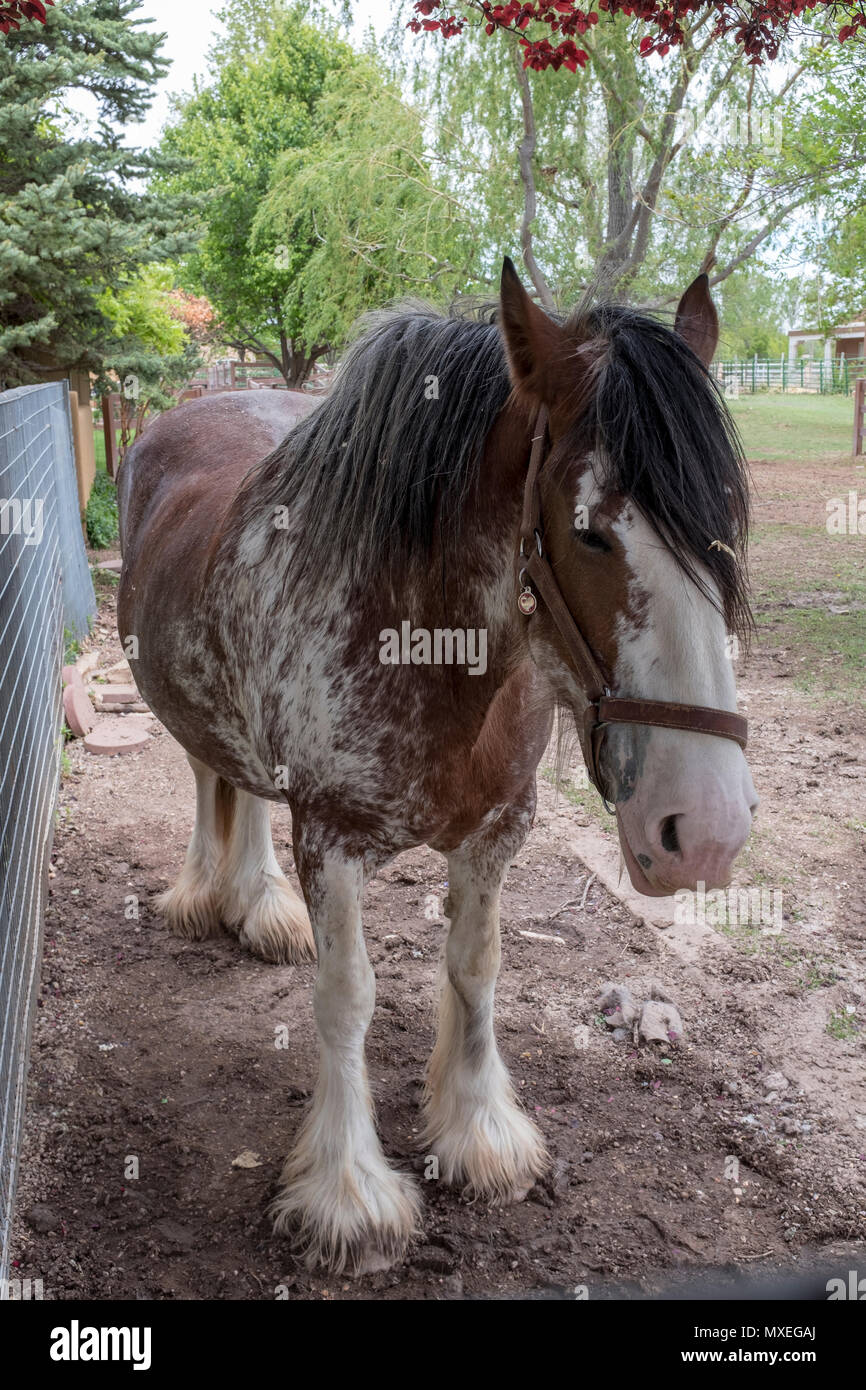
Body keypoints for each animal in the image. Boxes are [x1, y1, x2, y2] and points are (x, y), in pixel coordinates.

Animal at [117, 260, 757, 1274]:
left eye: (725, 525)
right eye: (589, 531)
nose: (705, 832)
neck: (427, 643)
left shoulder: (498, 832)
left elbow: (475, 968)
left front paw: (479, 1133)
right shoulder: (331, 841)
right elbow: (346, 1001)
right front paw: (348, 1194)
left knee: (244, 790)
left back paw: (259, 907)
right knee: (208, 778)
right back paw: (209, 892)